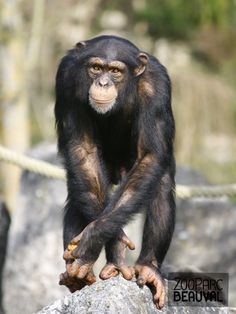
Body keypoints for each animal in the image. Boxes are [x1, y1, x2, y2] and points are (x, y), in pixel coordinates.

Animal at [54, 35, 175, 310]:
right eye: (96, 67)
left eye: (116, 71)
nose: (103, 82)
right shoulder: (66, 78)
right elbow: (83, 150)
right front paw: (115, 245)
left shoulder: (157, 87)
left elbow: (150, 155)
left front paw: (91, 240)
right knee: (80, 189)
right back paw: (81, 273)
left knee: (160, 180)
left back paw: (149, 268)